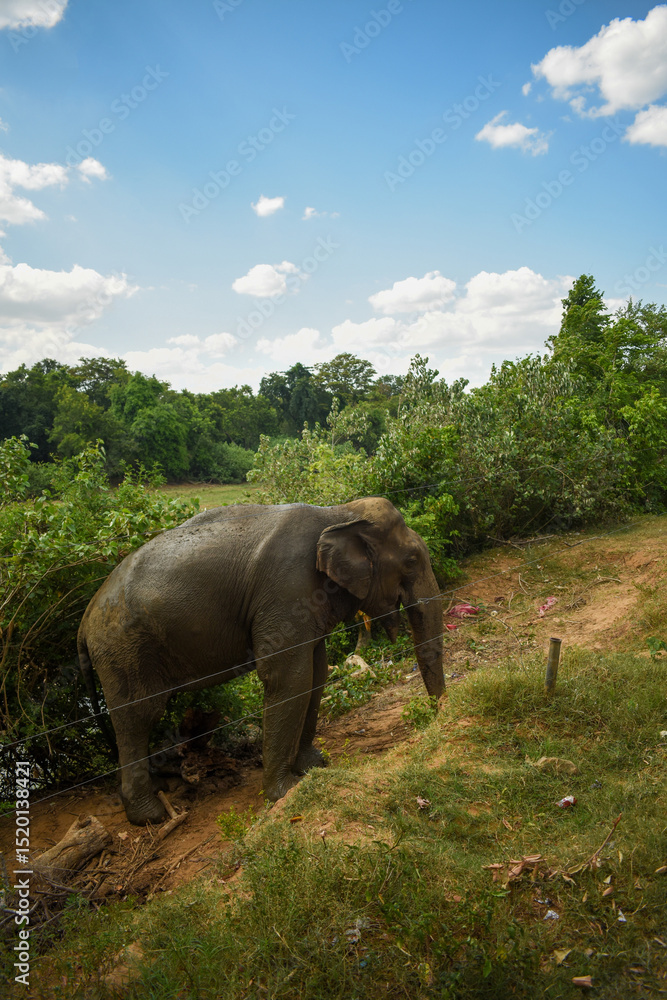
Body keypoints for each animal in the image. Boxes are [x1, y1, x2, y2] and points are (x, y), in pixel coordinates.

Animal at [78, 497, 445, 825]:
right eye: (411, 560)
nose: (434, 714)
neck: (339, 512)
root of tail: (84, 622)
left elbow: (316, 673)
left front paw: (313, 765)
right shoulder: (288, 590)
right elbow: (289, 677)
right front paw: (287, 791)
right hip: (123, 649)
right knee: (139, 716)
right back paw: (151, 815)